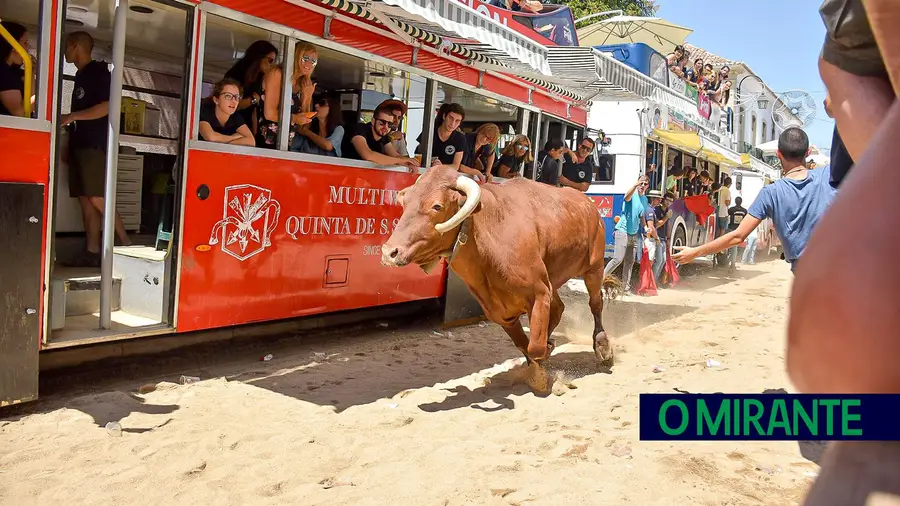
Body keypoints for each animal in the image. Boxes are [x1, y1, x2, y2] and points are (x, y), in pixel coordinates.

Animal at [378, 164, 620, 374]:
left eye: (437, 206)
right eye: (405, 201)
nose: (389, 252)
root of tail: (589, 204)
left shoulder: (539, 291)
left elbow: (535, 347)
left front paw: (547, 351)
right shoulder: (499, 310)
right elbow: (525, 345)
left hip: (594, 267)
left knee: (595, 303)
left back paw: (602, 345)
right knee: (559, 308)